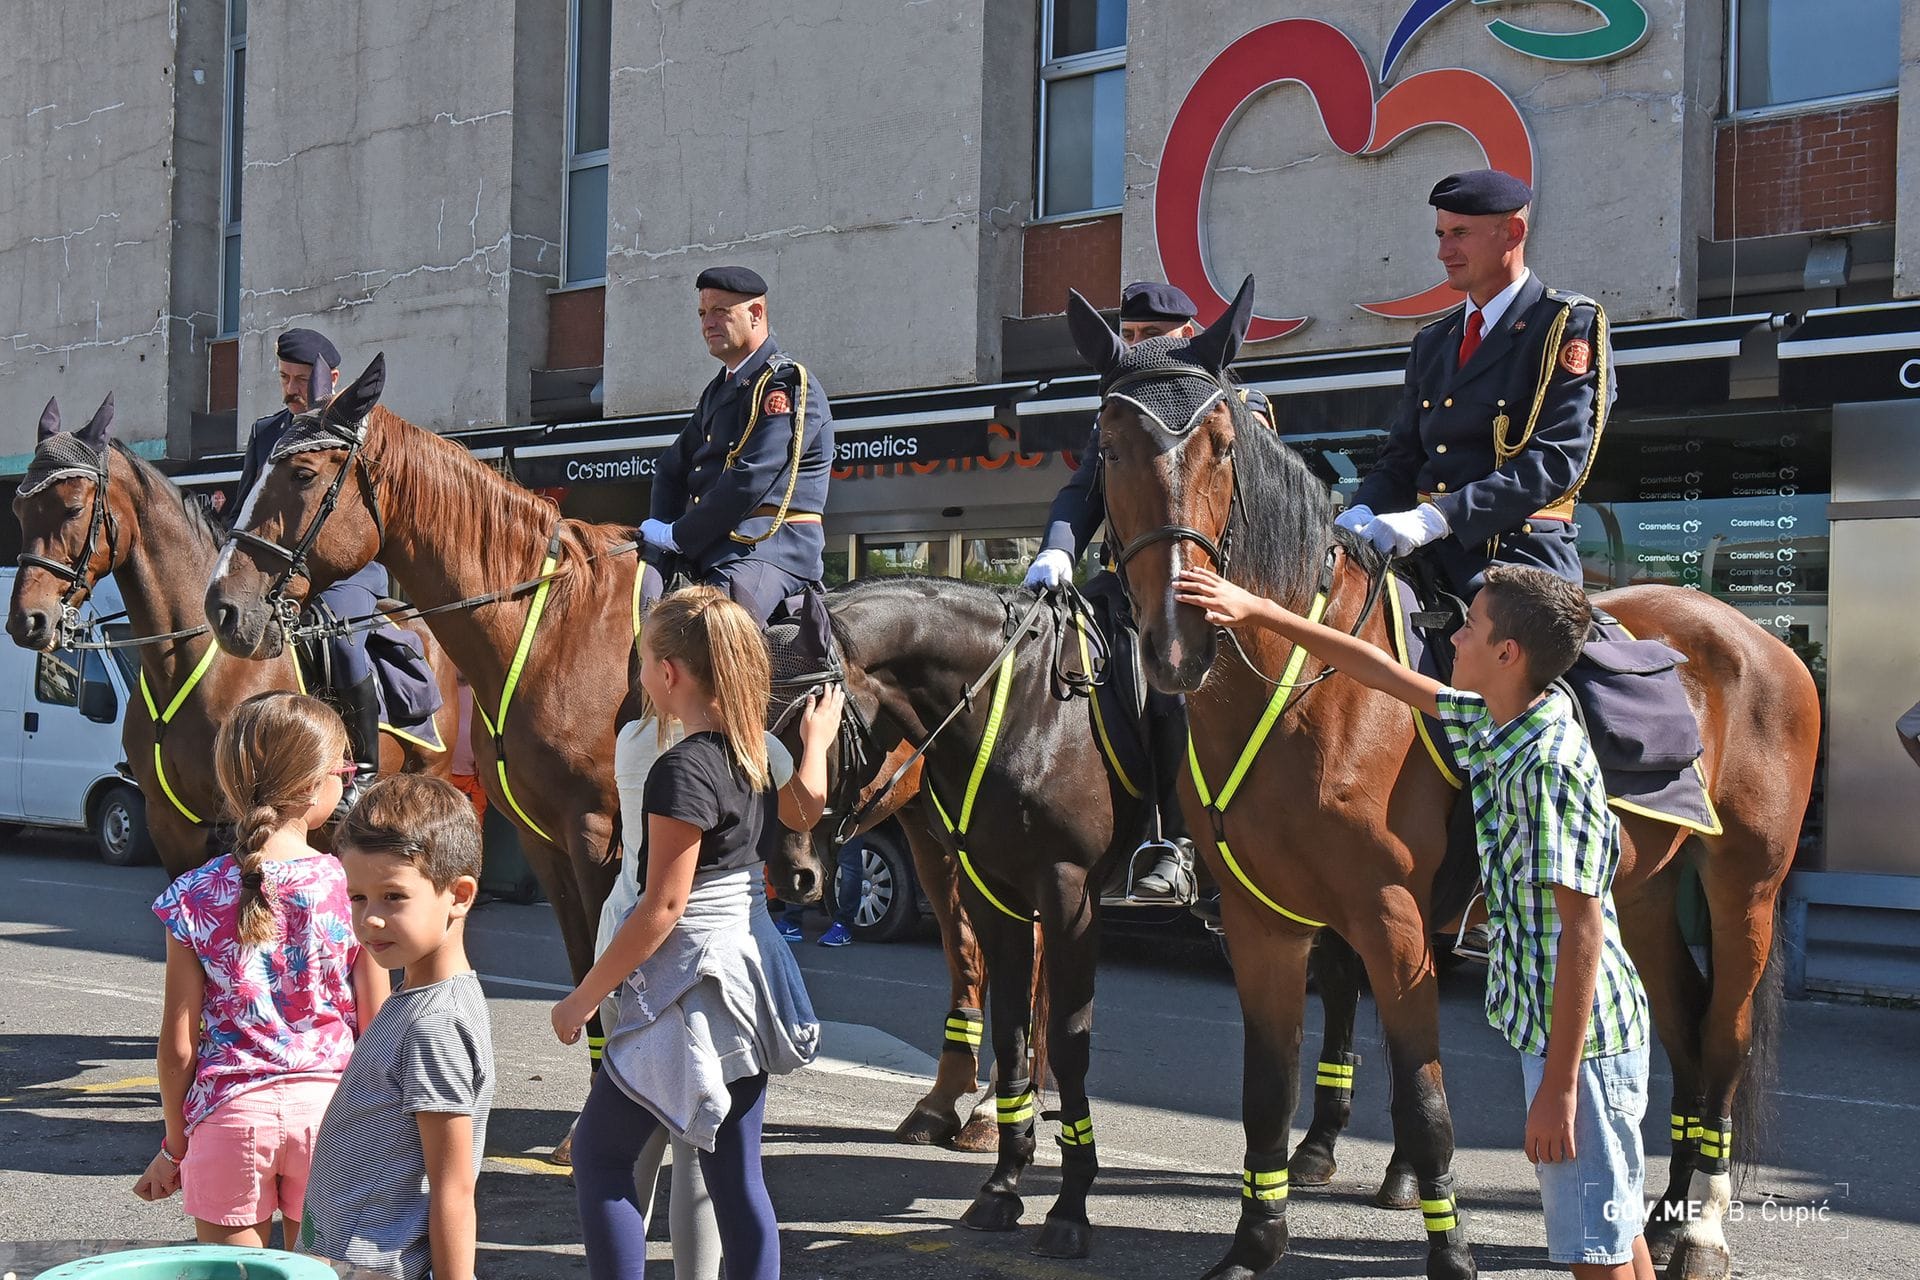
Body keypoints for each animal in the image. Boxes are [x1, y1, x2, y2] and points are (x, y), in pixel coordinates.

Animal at [1075, 282, 1820, 1280]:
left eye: (1224, 446)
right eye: (1108, 446)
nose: (1174, 640)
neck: (1306, 685)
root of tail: (1754, 636)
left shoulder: (1392, 917)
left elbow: (1425, 1096)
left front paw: (1450, 1249)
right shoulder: (1263, 922)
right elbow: (1265, 1091)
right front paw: (1255, 1244)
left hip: (1745, 887)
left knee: (1728, 1034)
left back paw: (1700, 1228)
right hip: (1645, 890)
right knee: (1686, 1024)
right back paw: (1660, 1217)